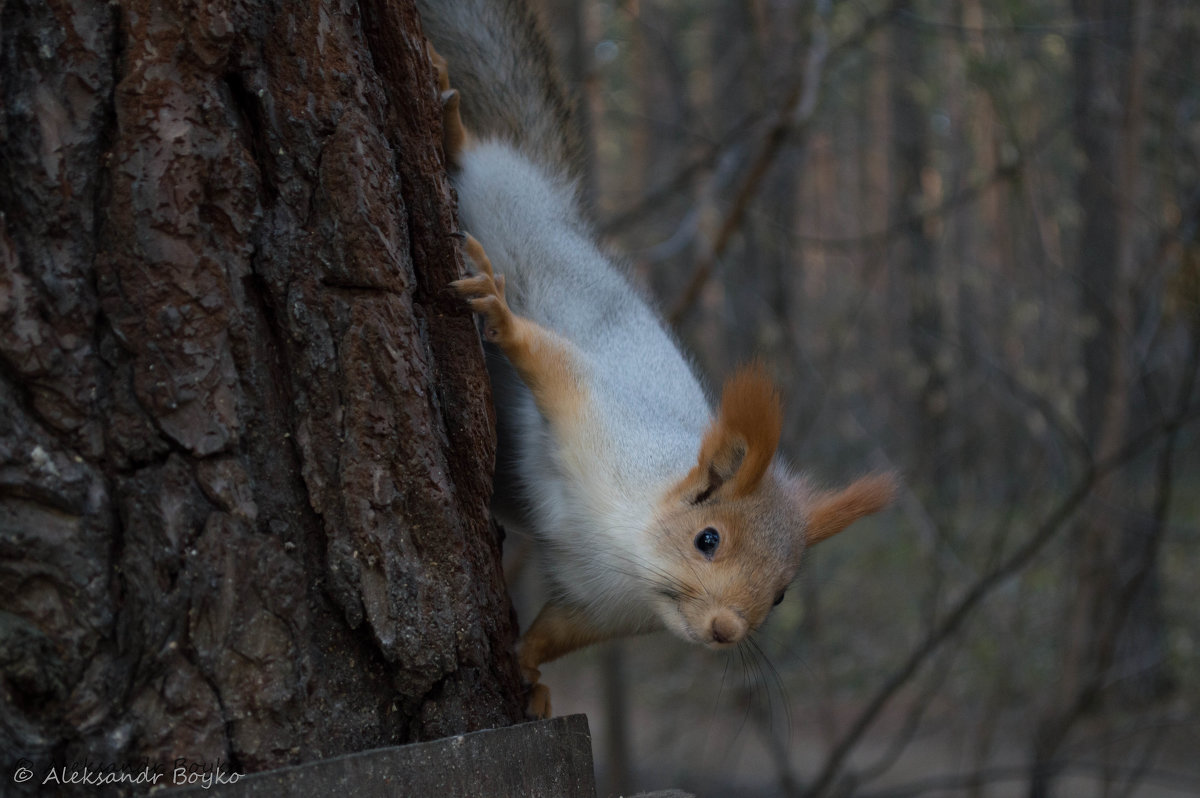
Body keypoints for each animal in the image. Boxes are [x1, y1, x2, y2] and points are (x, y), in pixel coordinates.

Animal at [417, 0, 897, 715]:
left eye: (781, 593)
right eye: (708, 539)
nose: (726, 630)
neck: (630, 544)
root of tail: (567, 218)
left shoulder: (602, 607)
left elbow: (554, 632)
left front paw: (529, 674)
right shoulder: (599, 419)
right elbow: (552, 363)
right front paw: (501, 318)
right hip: (510, 211)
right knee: (486, 163)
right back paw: (451, 123)